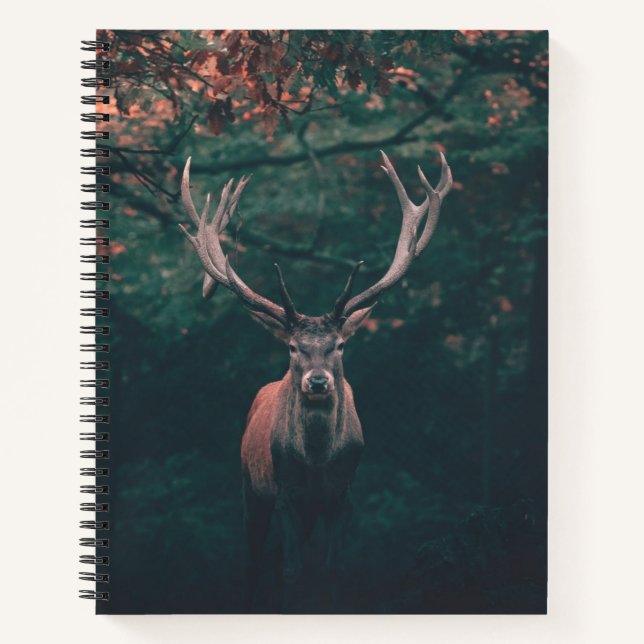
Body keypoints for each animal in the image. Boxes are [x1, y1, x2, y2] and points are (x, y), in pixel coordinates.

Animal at [178, 150, 452, 610]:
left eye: (339, 345)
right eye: (292, 347)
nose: (318, 382)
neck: (319, 462)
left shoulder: (344, 495)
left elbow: (333, 569)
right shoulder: (286, 493)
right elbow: (292, 572)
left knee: (271, 560)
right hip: (250, 487)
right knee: (255, 560)